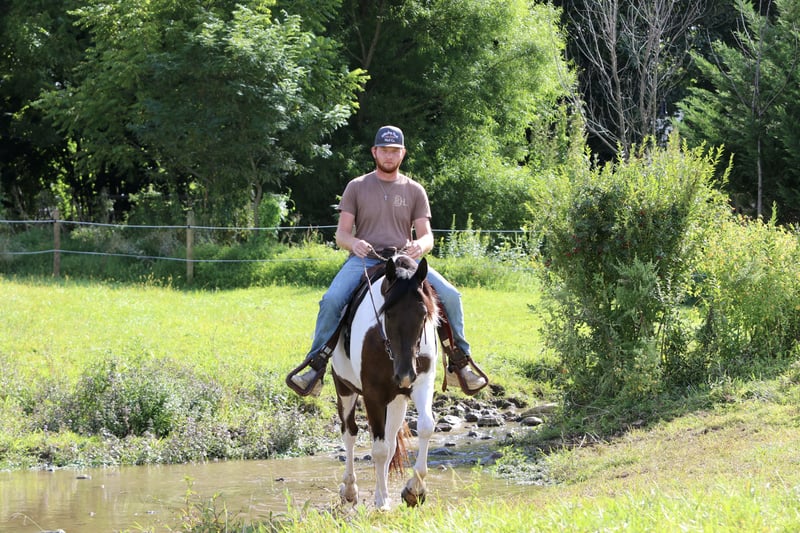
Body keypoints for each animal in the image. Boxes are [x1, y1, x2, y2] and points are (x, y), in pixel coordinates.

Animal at [330, 254, 439, 510]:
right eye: (388, 313)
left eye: (423, 314)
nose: (404, 373)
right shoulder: (372, 395)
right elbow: (378, 449)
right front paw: (381, 502)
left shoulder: (422, 384)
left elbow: (426, 427)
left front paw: (414, 490)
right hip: (344, 389)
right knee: (349, 433)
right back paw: (350, 489)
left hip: (397, 401)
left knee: (390, 442)